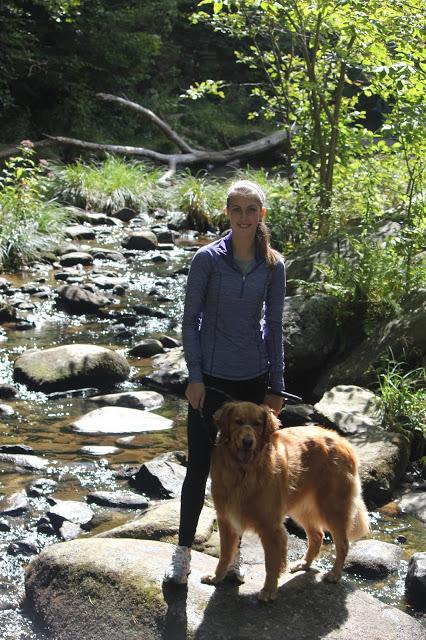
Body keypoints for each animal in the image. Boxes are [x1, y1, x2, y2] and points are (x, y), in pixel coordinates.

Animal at [201, 402, 370, 604]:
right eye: (238, 422)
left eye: (257, 424)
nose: (247, 441)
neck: (243, 471)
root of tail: (343, 441)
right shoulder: (226, 519)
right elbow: (225, 554)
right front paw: (216, 577)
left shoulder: (271, 526)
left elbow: (271, 562)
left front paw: (269, 590)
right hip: (302, 509)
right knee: (317, 536)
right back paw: (304, 563)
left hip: (332, 507)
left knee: (343, 543)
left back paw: (334, 574)